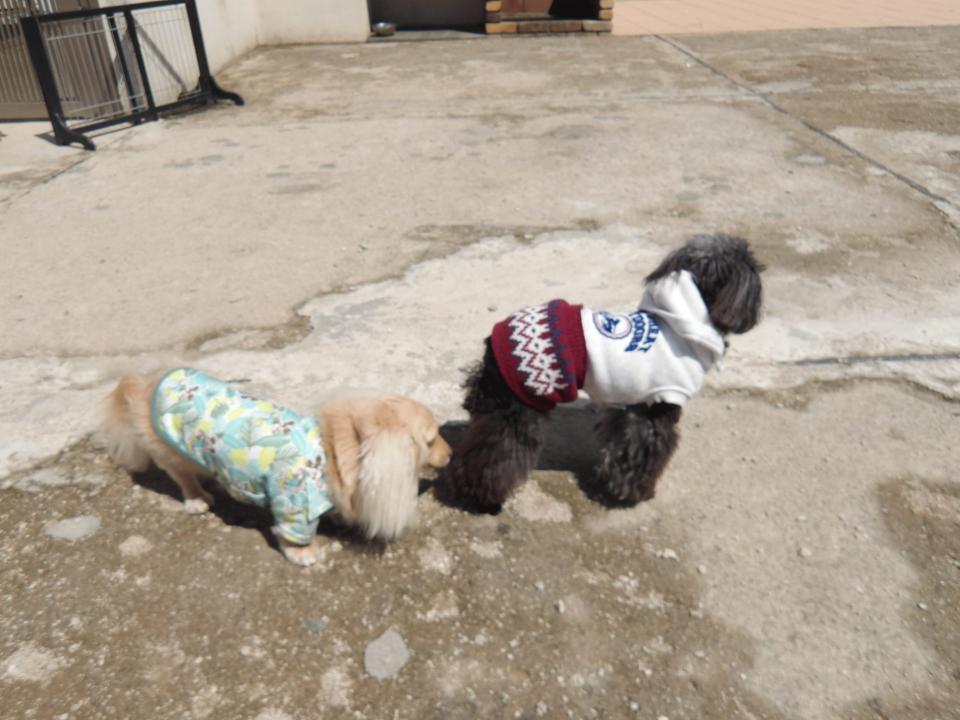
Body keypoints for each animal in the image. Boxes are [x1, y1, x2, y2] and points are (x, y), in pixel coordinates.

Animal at [100, 368, 450, 565]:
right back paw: (197, 498)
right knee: (182, 476)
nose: (451, 455)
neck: (334, 452)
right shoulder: (294, 504)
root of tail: (148, 385)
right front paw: (303, 554)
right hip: (171, 452)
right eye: (431, 440)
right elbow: (293, 535)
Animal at [446, 233, 763, 512]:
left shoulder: (631, 405)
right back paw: (484, 500)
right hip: (520, 409)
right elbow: (645, 454)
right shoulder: (657, 409)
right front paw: (636, 493)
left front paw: (611, 482)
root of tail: (493, 340)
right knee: (493, 458)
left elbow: (620, 446)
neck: (680, 323)